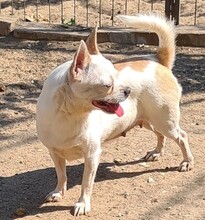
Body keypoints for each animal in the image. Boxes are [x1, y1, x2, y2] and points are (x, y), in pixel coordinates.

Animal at [36, 14, 194, 217]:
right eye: (107, 85)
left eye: (118, 76)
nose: (128, 90)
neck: (70, 115)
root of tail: (159, 61)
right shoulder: (54, 153)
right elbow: (61, 175)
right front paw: (58, 192)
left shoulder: (92, 155)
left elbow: (86, 184)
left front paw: (82, 204)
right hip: (150, 120)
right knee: (160, 135)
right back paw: (157, 152)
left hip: (165, 121)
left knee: (182, 136)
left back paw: (187, 162)